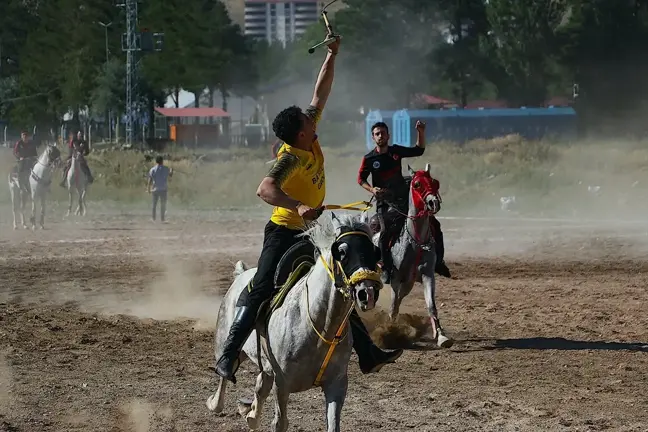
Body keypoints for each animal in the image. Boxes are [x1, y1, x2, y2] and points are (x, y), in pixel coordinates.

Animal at [205, 213, 382, 432]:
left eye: (374, 251)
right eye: (342, 251)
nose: (368, 293)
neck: (317, 326)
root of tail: (242, 274)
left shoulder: (337, 384)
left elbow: (333, 424)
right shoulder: (282, 384)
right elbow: (280, 422)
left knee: (260, 385)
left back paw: (250, 414)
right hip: (225, 345)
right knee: (224, 376)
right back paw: (217, 399)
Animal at [362, 164, 454, 350]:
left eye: (435, 182)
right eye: (417, 184)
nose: (434, 203)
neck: (415, 242)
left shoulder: (427, 275)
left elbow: (431, 306)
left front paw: (442, 336)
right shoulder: (396, 278)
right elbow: (392, 306)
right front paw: (390, 331)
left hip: (409, 283)